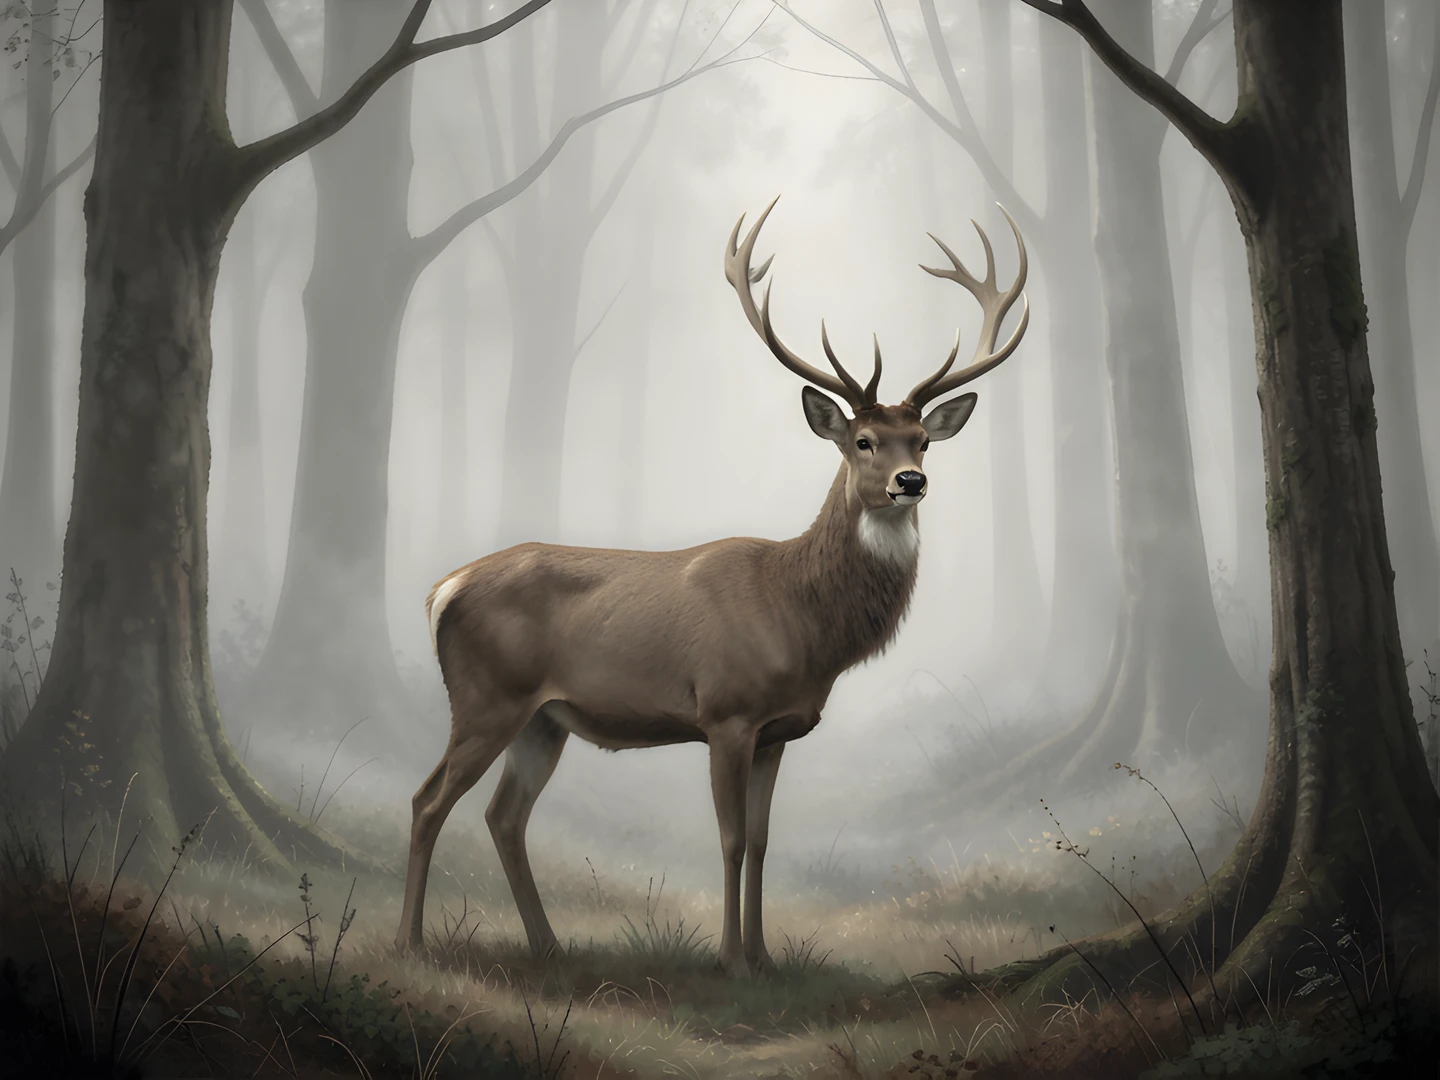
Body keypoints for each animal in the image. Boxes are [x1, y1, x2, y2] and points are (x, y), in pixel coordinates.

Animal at [396, 197, 1029, 977]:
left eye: (924, 441)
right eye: (863, 442)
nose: (911, 481)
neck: (801, 619)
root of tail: (440, 590)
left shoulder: (779, 730)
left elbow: (760, 841)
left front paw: (764, 957)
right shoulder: (726, 712)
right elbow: (728, 840)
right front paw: (729, 960)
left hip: (544, 718)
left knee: (503, 816)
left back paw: (549, 947)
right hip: (487, 696)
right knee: (428, 801)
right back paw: (410, 943)